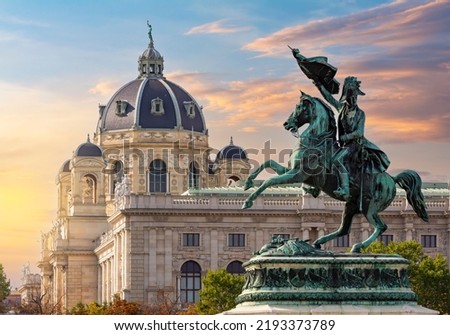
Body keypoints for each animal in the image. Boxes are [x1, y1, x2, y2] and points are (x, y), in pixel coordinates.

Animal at [243, 92, 428, 252]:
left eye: (298, 107)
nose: (286, 124)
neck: (316, 141)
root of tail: (392, 179)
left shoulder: (298, 174)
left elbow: (269, 181)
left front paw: (248, 202)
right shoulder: (291, 170)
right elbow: (267, 163)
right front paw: (248, 183)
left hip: (370, 208)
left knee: (381, 227)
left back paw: (357, 246)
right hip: (351, 206)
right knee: (343, 230)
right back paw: (319, 242)